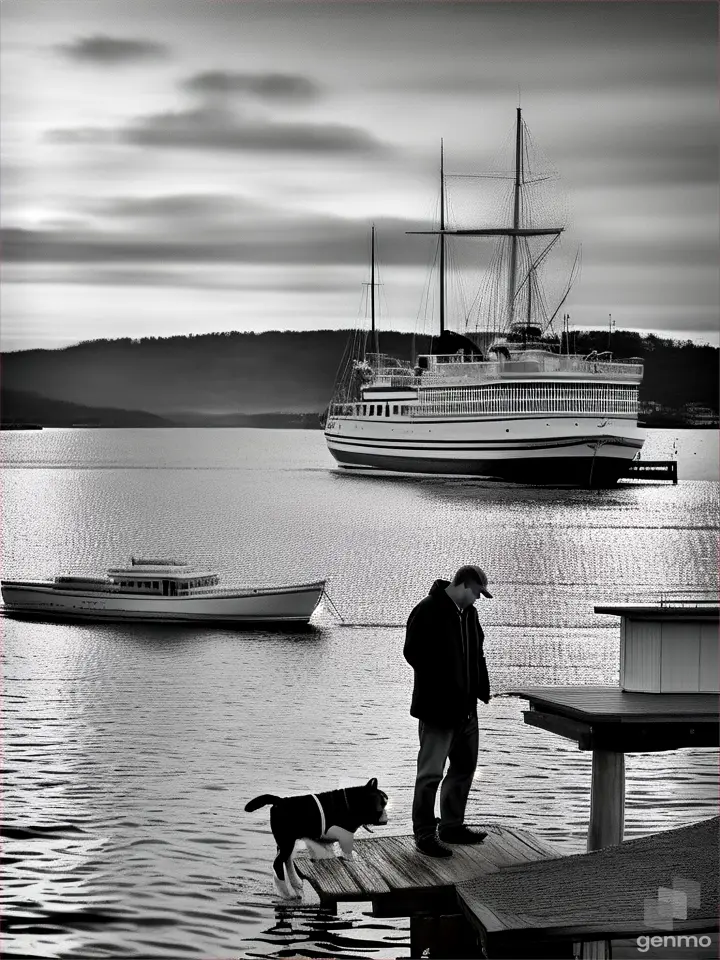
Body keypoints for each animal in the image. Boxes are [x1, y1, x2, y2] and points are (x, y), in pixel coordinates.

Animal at [245, 780, 388, 900]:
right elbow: (348, 857)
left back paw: (296, 885)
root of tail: (279, 801)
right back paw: (286, 893)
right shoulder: (345, 839)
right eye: (381, 803)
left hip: (285, 842)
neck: (351, 804)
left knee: (286, 860)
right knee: (278, 863)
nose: (386, 819)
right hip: (286, 842)